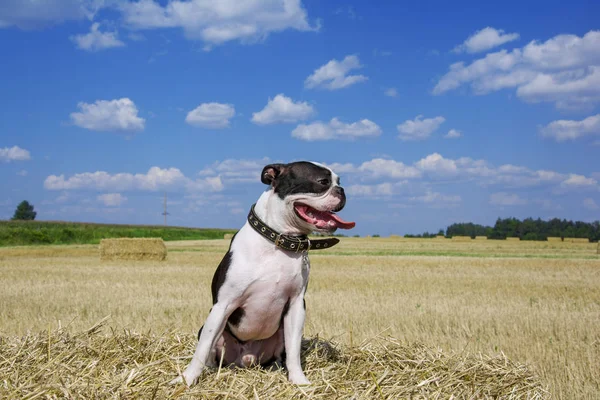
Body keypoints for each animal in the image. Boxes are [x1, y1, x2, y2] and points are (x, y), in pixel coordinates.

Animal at [171, 161, 354, 386]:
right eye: (323, 182)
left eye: (339, 181)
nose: (342, 190)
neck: (279, 241)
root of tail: (245, 359)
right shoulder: (223, 305)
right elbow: (202, 348)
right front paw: (186, 379)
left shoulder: (296, 305)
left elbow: (294, 351)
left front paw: (299, 380)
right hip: (212, 326)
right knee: (210, 349)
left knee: (280, 355)